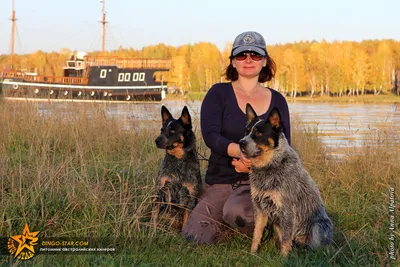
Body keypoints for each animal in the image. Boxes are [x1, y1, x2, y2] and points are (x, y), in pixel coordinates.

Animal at [239, 104, 332, 258]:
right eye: (246, 131)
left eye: (258, 134)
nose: (241, 143)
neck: (269, 167)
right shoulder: (260, 208)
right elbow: (257, 234)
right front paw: (253, 253)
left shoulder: (287, 210)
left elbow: (286, 239)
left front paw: (283, 258)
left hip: (317, 226)